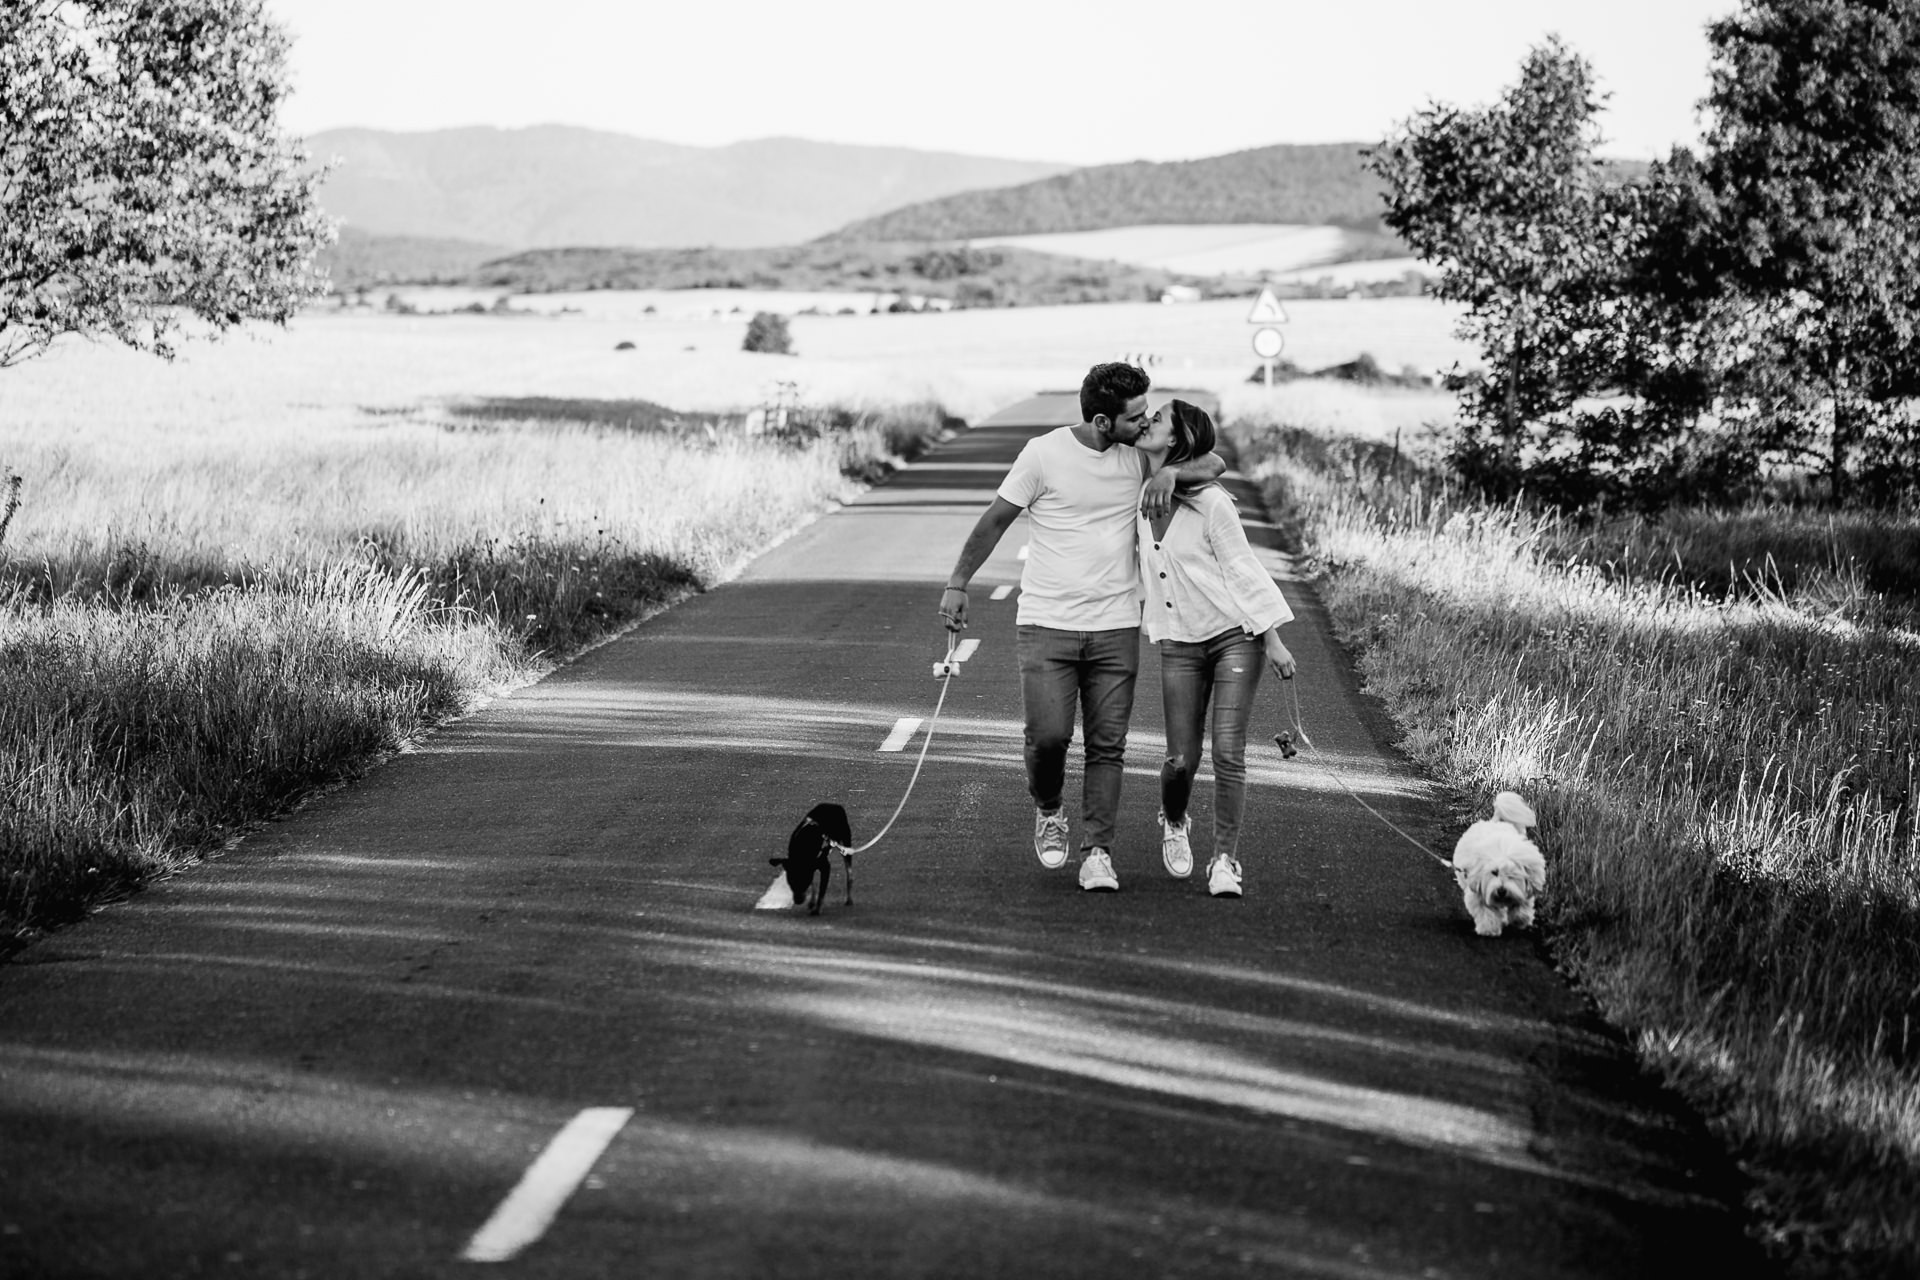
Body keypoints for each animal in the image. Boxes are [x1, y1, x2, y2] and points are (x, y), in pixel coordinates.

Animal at [1451, 786, 1543, 936]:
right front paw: (1489, 928)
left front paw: (1520, 919)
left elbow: (1521, 904)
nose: (1501, 891)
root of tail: (1494, 822)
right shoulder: (1478, 891)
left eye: (1512, 875)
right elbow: (1487, 911)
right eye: (1494, 872)